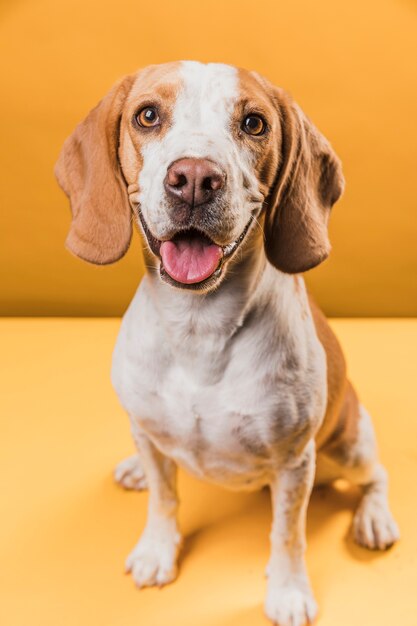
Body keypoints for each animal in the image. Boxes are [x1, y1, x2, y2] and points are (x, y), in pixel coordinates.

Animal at [53, 61, 398, 624]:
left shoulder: (294, 464)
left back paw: (375, 518)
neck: (199, 329)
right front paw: (157, 549)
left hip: (346, 446)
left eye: (254, 123)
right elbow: (164, 500)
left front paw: (288, 591)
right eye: (147, 115)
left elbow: (288, 534)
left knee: (377, 474)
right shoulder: (149, 432)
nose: (195, 178)